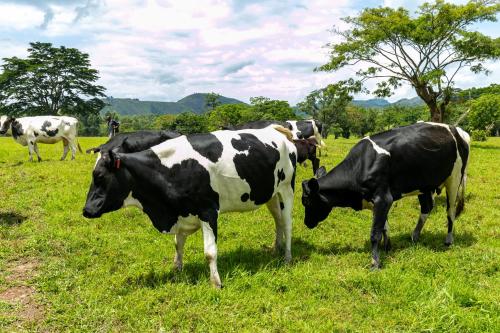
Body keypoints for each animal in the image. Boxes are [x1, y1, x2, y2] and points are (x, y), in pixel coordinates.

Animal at [83, 126, 296, 286]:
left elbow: (210, 252)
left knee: (287, 224)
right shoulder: (182, 212)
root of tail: (274, 128)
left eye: (99, 176)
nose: (86, 210)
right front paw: (177, 269)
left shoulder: (208, 211)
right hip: (271, 194)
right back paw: (275, 248)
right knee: (277, 220)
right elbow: (178, 243)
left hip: (287, 189)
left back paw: (287, 257)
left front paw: (216, 282)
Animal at [302, 120, 470, 268]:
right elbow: (384, 227)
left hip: (454, 178)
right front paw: (387, 247)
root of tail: (457, 130)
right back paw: (415, 235)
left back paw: (448, 240)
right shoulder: (377, 201)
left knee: (450, 211)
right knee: (427, 207)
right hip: (424, 184)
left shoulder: (383, 198)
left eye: (307, 202)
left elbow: (375, 233)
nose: (306, 223)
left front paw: (375, 263)